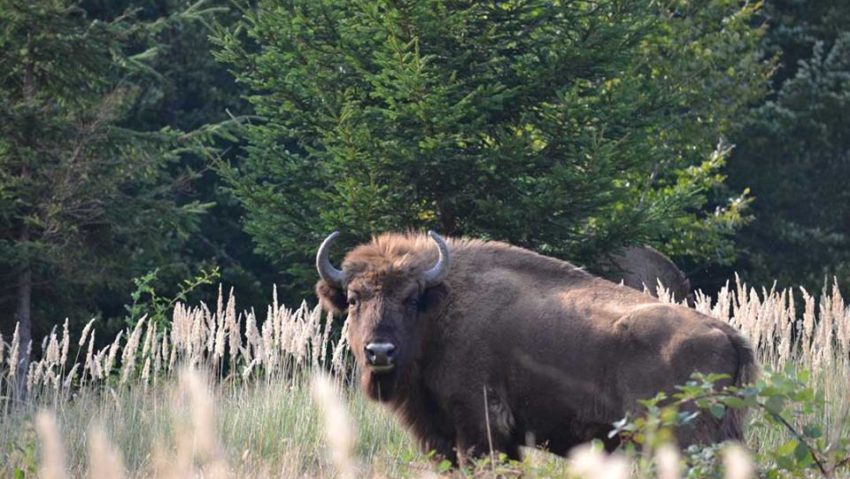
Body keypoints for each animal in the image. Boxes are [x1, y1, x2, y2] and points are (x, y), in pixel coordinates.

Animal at [314, 232, 752, 464]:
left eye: (410, 298)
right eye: (353, 298)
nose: (380, 352)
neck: (440, 312)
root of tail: (727, 334)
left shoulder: (480, 428)